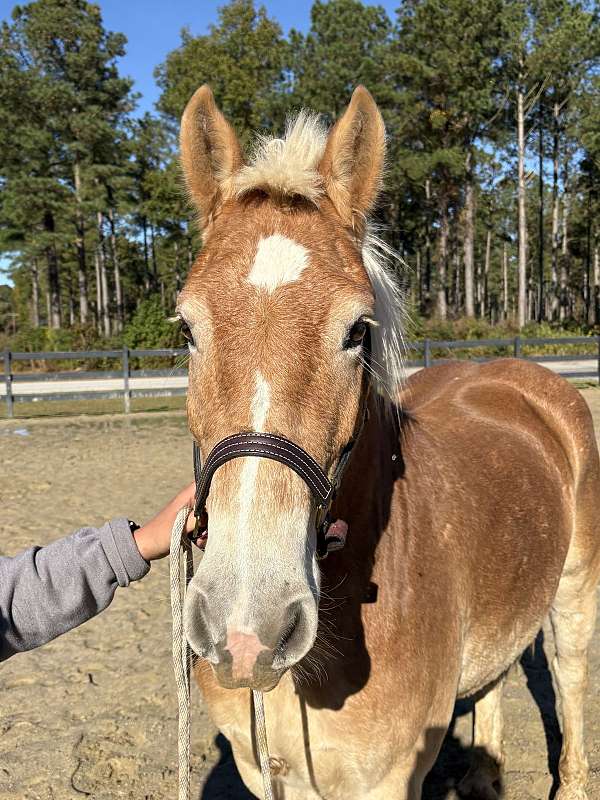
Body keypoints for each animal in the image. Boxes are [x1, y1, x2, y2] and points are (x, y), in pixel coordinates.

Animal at [175, 84, 600, 799]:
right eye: (186, 328)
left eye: (356, 331)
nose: (249, 627)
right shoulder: (261, 774)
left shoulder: (388, 781)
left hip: (574, 594)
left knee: (569, 683)